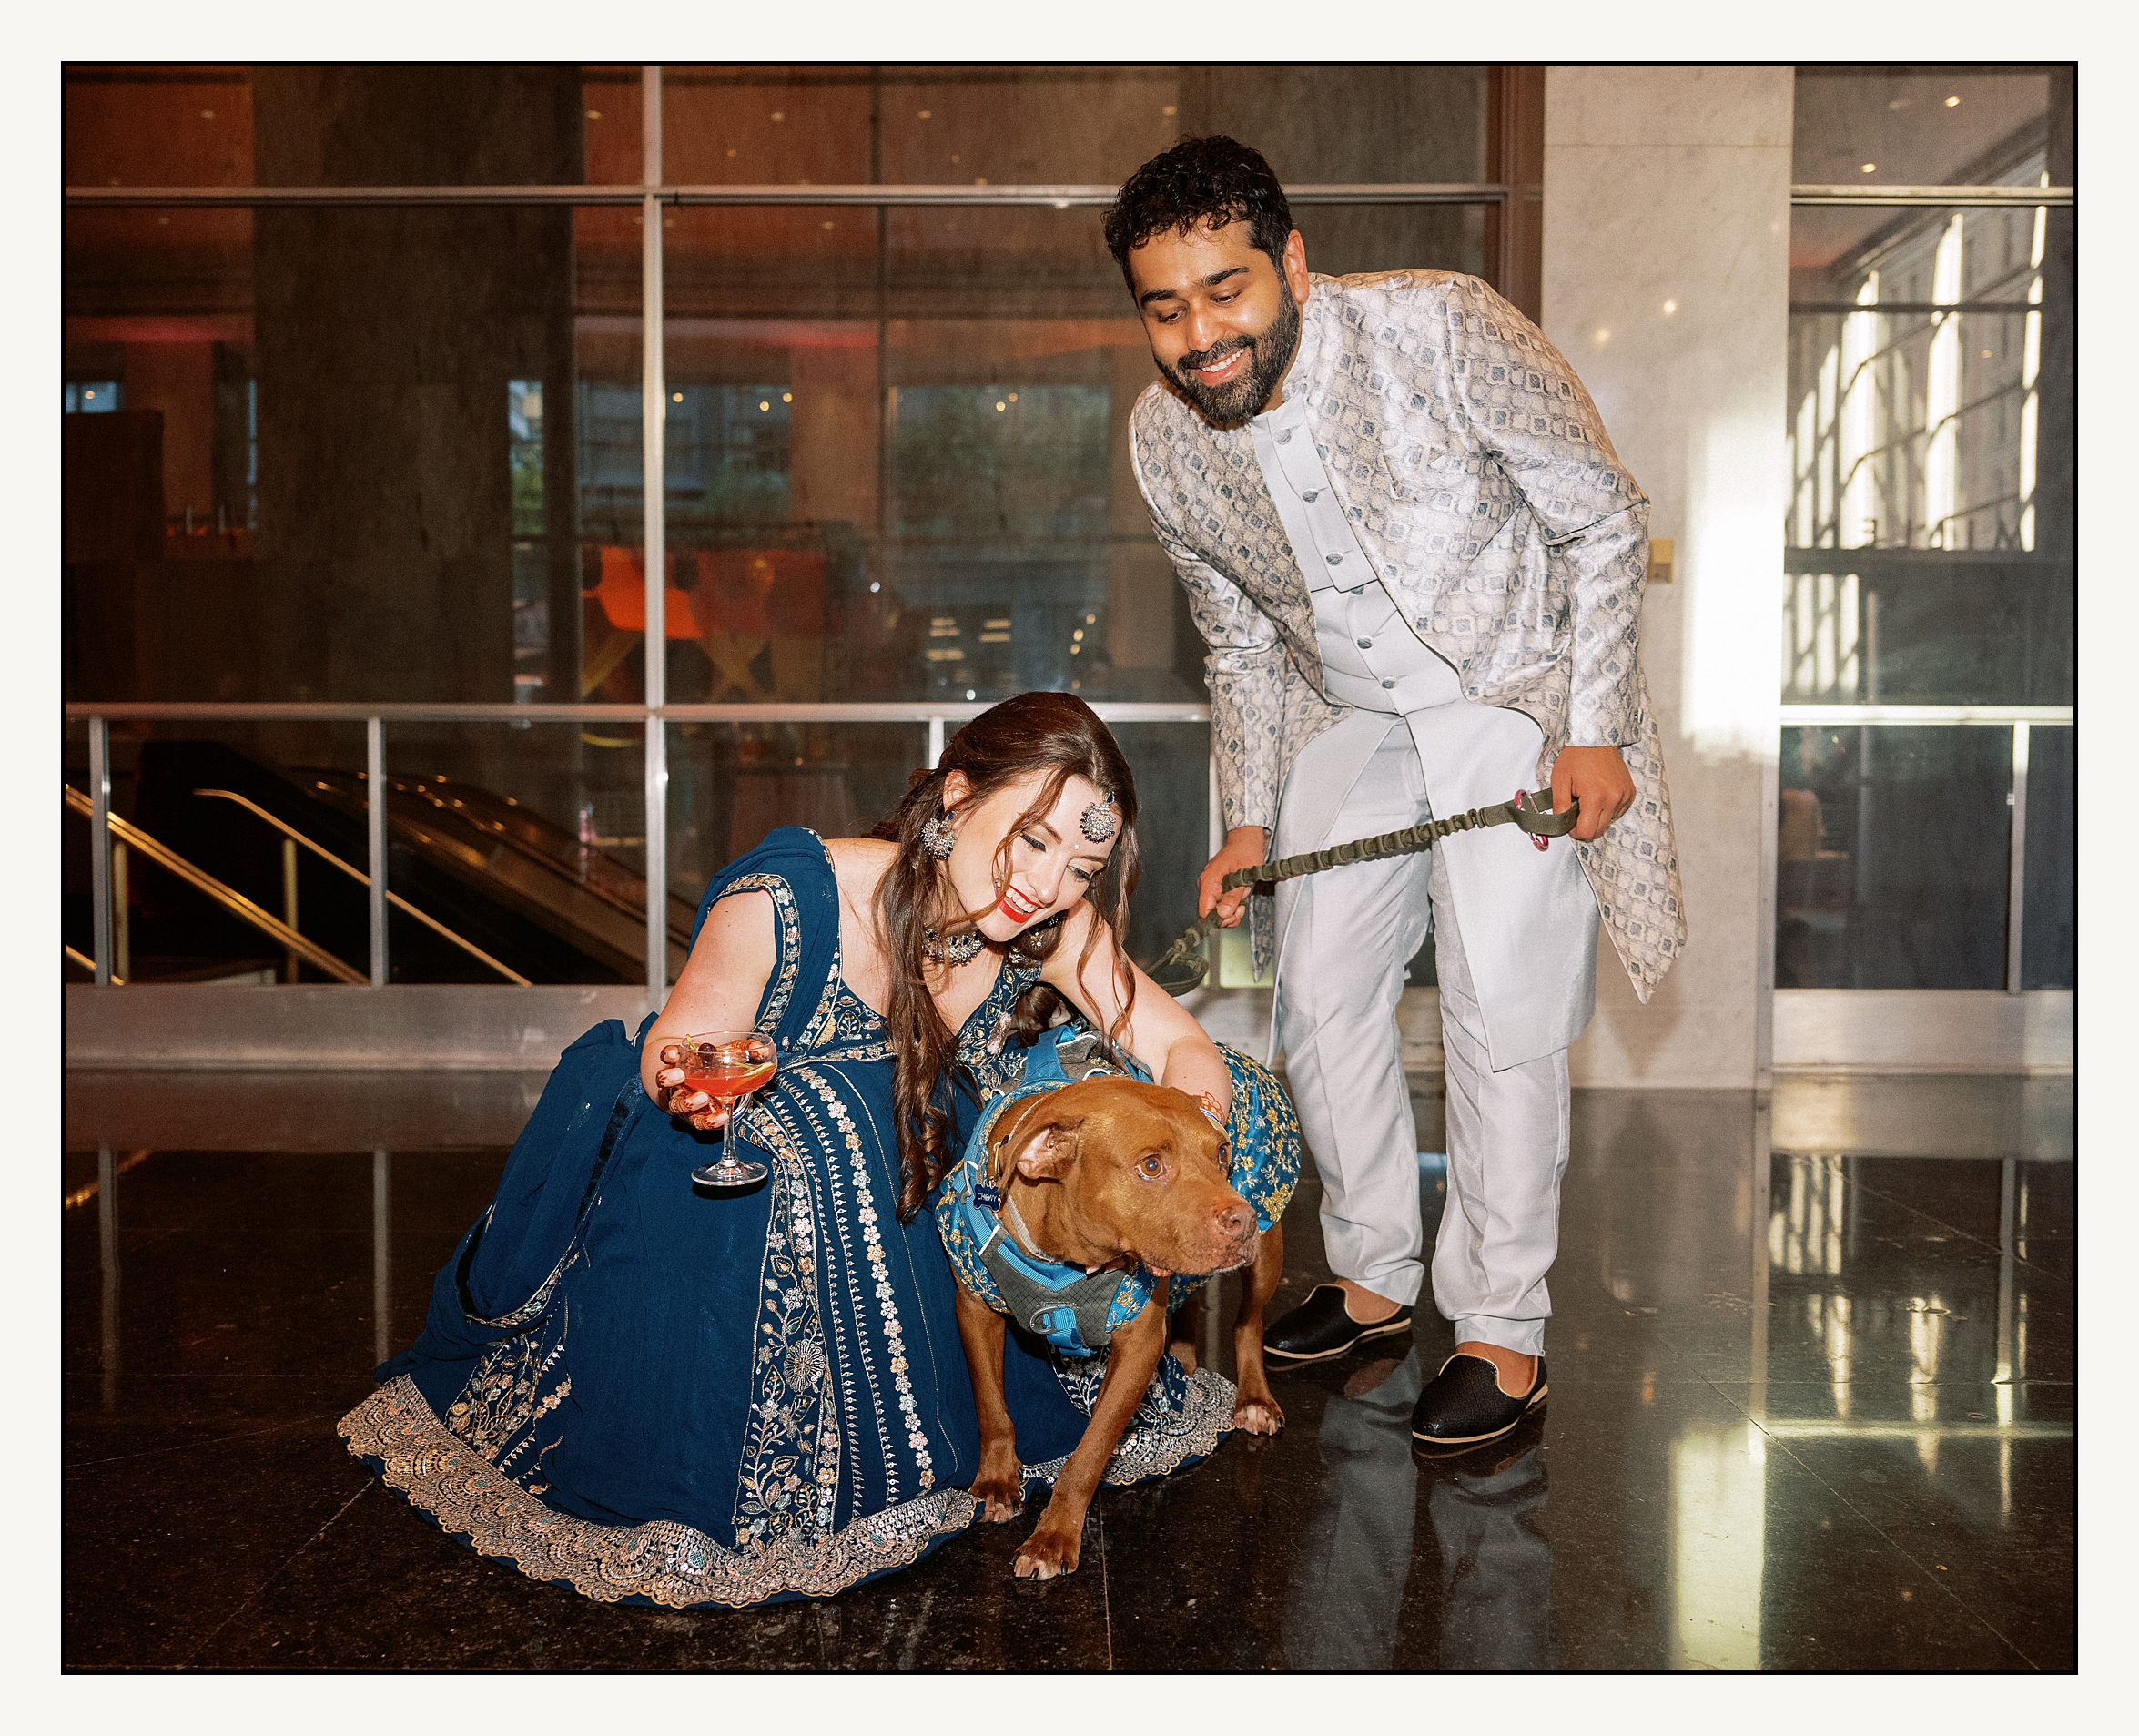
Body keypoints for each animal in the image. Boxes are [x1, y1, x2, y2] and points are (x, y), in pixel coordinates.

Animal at [958, 1074, 1283, 1575]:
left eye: (1221, 1153)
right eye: (1151, 1166)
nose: (1245, 1219)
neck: (1063, 1254)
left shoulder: (1138, 1345)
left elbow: (1088, 1453)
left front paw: (1053, 1537)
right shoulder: (974, 1308)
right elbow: (991, 1407)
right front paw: (996, 1482)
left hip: (1265, 1261)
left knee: (1249, 1324)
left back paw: (1254, 1400)